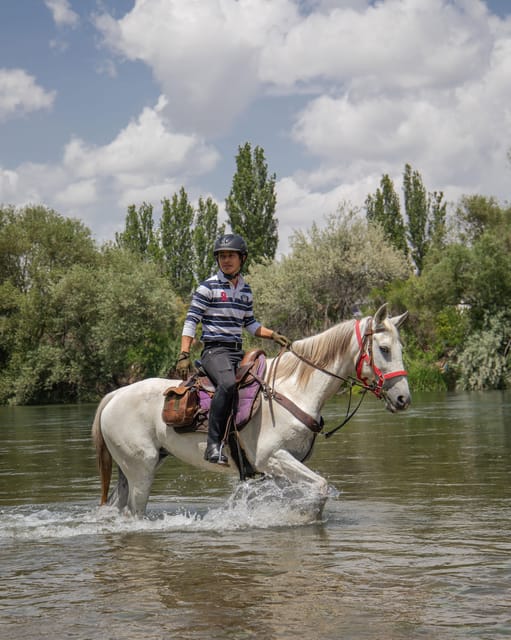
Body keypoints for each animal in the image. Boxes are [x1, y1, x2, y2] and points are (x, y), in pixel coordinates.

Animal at [92, 302, 412, 516]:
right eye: (384, 349)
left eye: (401, 348)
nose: (403, 399)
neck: (292, 391)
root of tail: (116, 394)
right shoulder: (272, 458)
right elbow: (320, 487)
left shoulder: (283, 468)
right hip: (141, 469)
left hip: (135, 466)